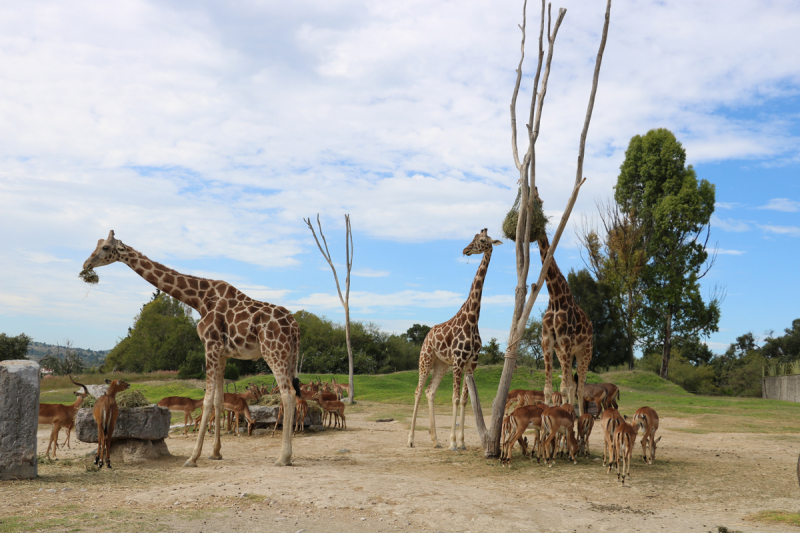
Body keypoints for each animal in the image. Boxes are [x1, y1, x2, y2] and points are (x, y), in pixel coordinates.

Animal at [81, 229, 302, 466]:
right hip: (289, 356)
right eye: (96, 244)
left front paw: (193, 457)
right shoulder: (222, 353)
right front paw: (215, 453)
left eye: (105, 247)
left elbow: (206, 400)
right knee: (292, 393)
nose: (86, 264)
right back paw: (287, 455)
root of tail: (295, 327)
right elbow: (218, 400)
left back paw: (283, 457)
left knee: (287, 393)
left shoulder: (210, 346)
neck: (199, 299)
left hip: (274, 352)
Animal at [406, 228, 500, 448]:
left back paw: (435, 440)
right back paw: (411, 439)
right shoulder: (458, 360)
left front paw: (462, 442)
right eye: (475, 237)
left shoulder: (471, 363)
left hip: (441, 364)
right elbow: (455, 398)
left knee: (430, 392)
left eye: (482, 240)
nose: (465, 250)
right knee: (417, 391)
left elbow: (465, 400)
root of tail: (426, 336)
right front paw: (453, 443)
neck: (473, 318)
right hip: (426, 360)